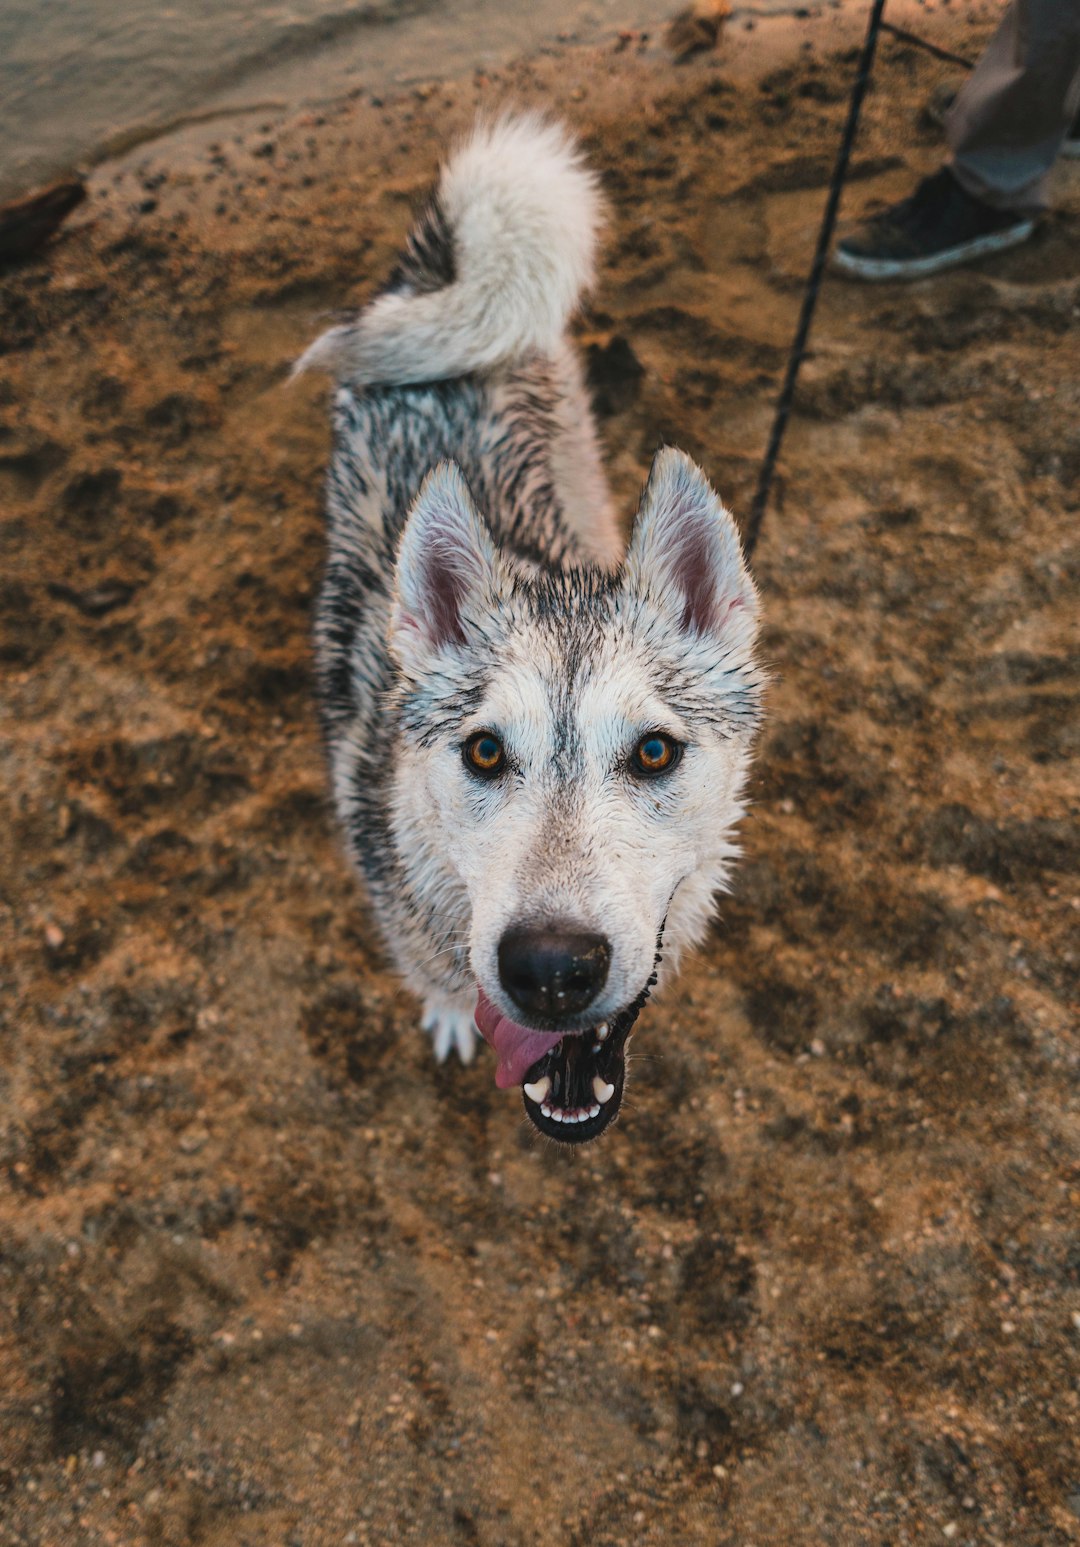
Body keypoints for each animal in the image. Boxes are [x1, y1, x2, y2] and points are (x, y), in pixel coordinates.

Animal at [298, 112, 761, 1150]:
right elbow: (436, 982)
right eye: (483, 751)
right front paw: (446, 1012)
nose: (551, 970)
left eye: (655, 752)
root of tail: (443, 270)